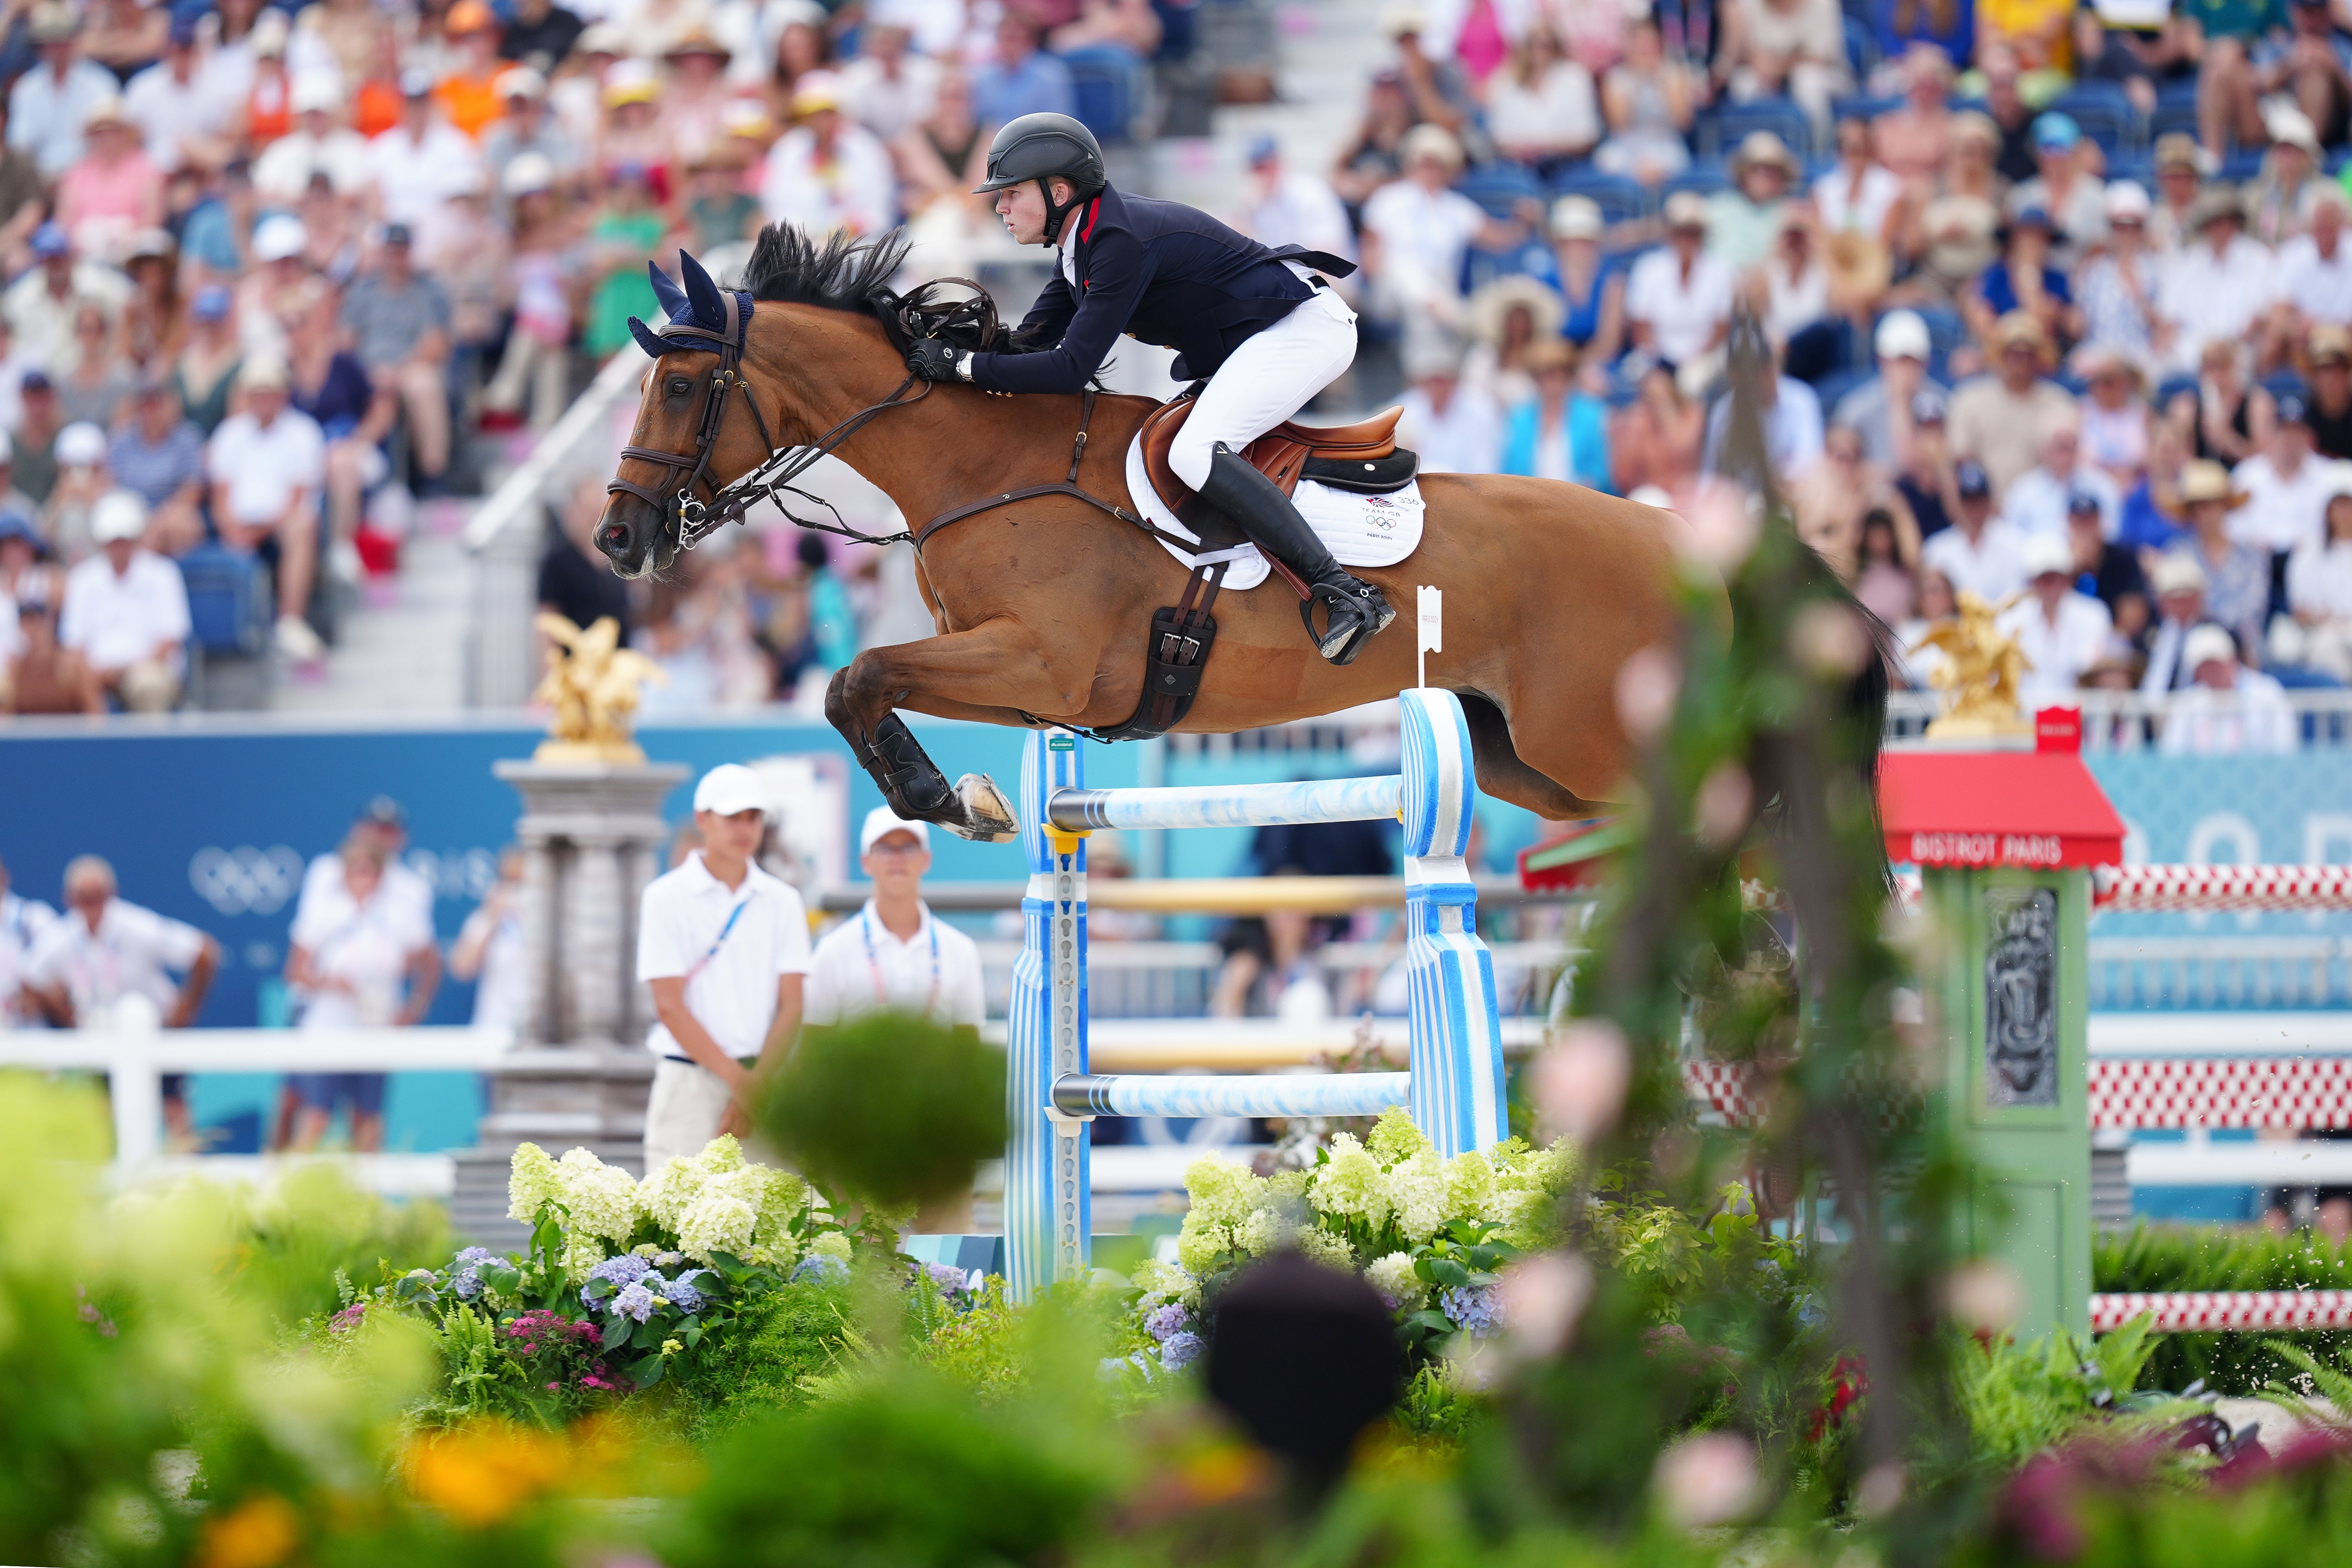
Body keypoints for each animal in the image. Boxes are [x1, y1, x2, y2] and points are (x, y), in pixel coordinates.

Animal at [592, 225, 1835, 841]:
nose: (617, 541)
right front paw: (964, 797)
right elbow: (863, 686)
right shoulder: (1026, 684)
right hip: (1536, 761)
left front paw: (941, 800)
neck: (983, 469)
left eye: (683, 387)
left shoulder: (1042, 661)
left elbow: (854, 675)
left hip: (1602, 743)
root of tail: (1685, 543)